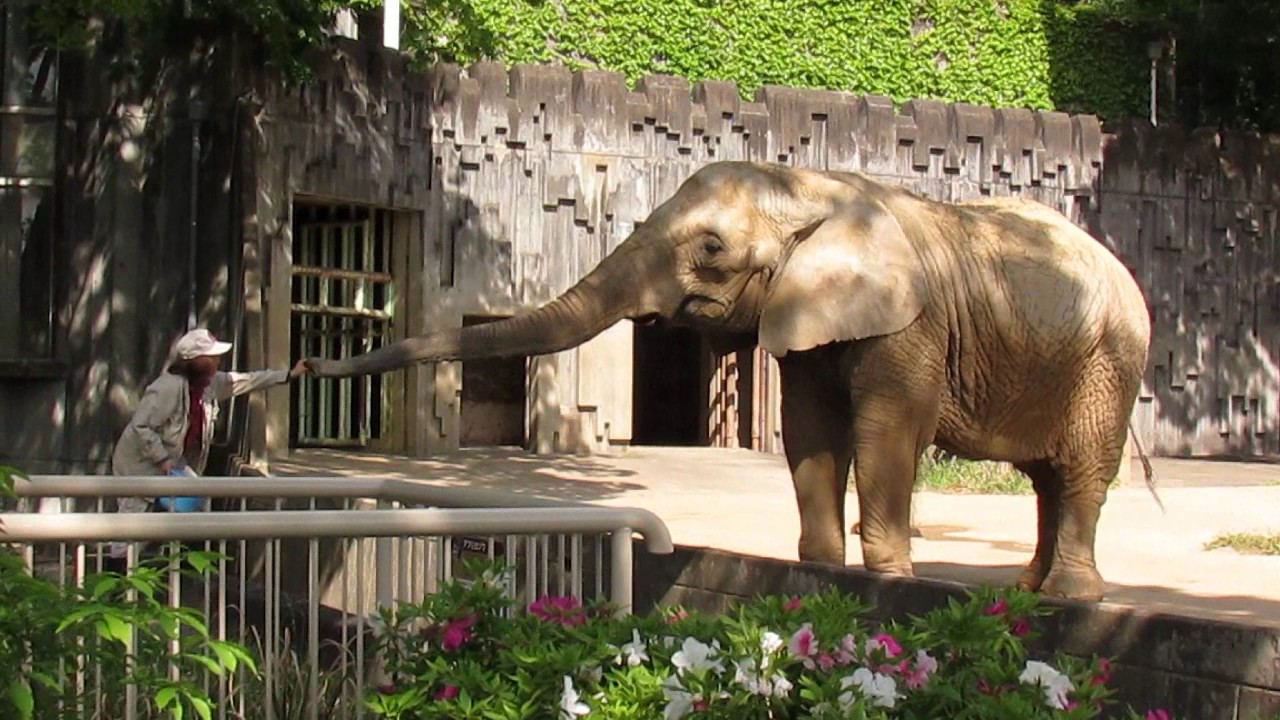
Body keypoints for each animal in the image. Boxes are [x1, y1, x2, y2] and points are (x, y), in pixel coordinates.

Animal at [304, 161, 1152, 602]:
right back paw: (1027, 590)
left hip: (1112, 359)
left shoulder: (909, 321)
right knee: (1045, 477)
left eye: (711, 248)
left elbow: (886, 430)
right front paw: (818, 572)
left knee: (1081, 469)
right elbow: (810, 429)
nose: (308, 364)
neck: (819, 186)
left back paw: (1070, 598)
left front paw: (892, 583)